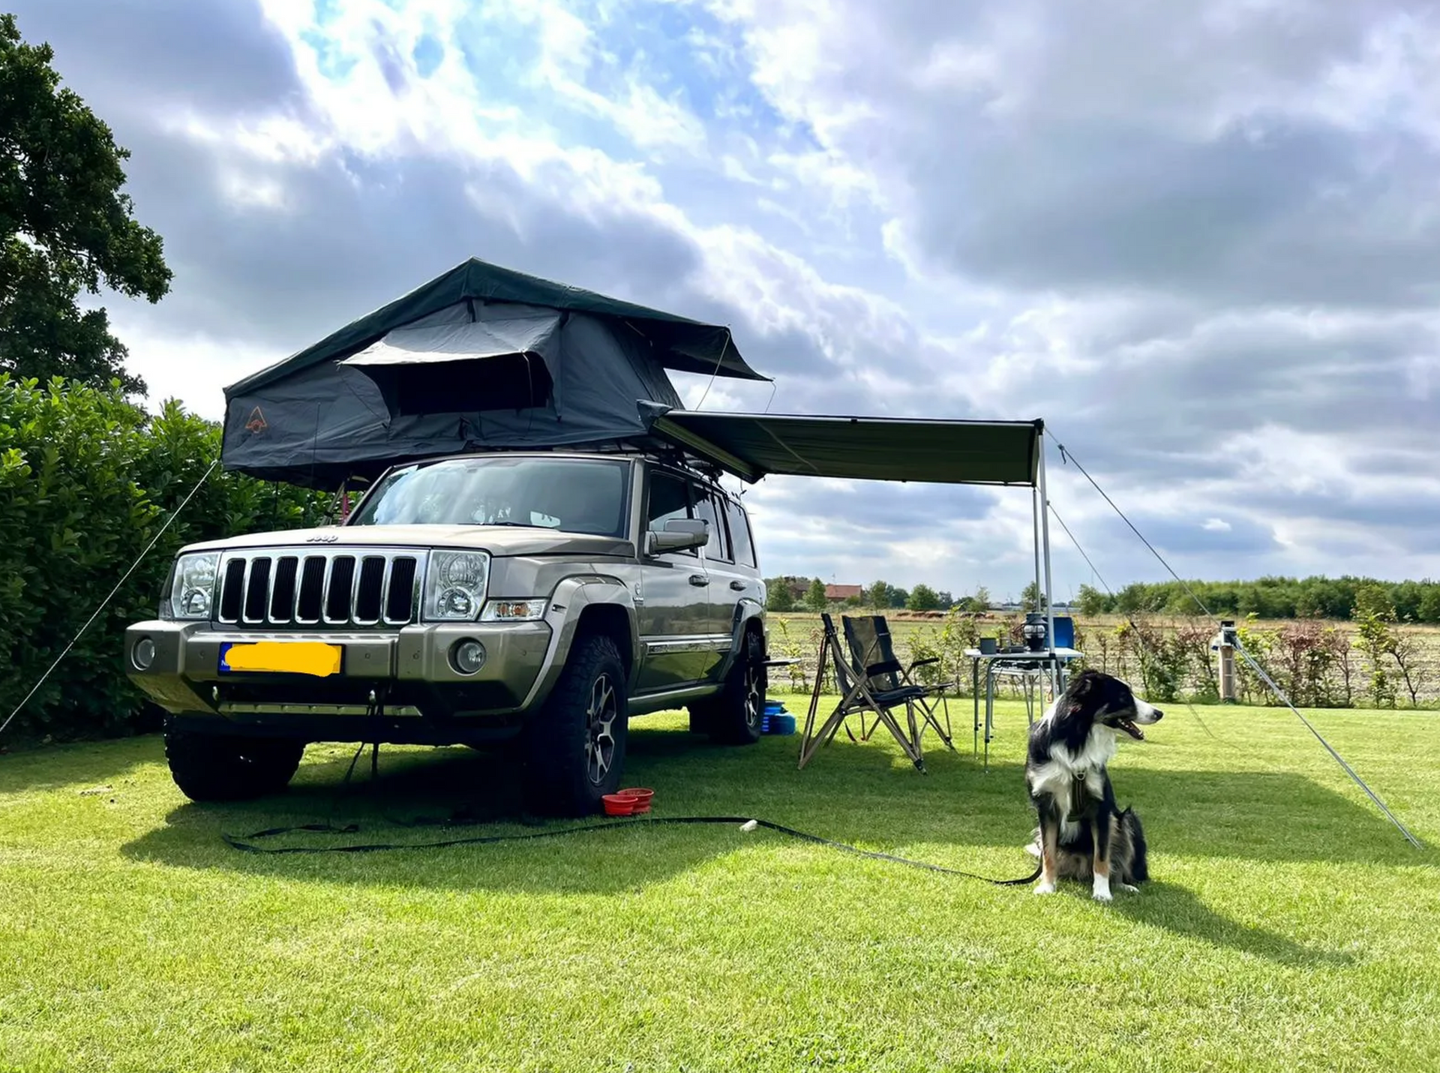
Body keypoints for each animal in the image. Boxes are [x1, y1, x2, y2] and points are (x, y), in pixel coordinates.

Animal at [1019, 668, 1163, 904]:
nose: (1159, 713)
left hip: (1126, 819)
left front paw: (1102, 892)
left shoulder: (1101, 808)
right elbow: (1048, 854)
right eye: (1124, 696)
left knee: (1116, 863)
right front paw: (1047, 886)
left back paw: (1123, 885)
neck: (1077, 740)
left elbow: (1102, 857)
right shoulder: (1046, 807)